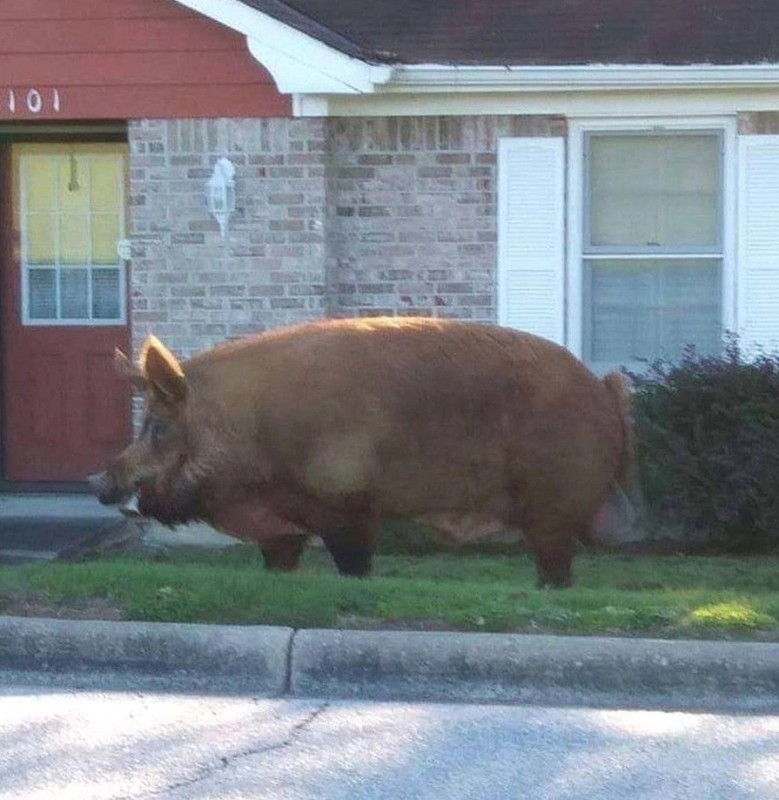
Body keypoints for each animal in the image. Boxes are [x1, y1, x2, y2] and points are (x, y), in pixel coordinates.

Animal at [90, 318, 632, 588]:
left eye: (158, 427)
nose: (98, 479)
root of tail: (604, 390)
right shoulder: (282, 525)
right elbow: (280, 561)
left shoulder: (346, 504)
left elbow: (354, 563)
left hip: (553, 506)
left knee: (555, 564)